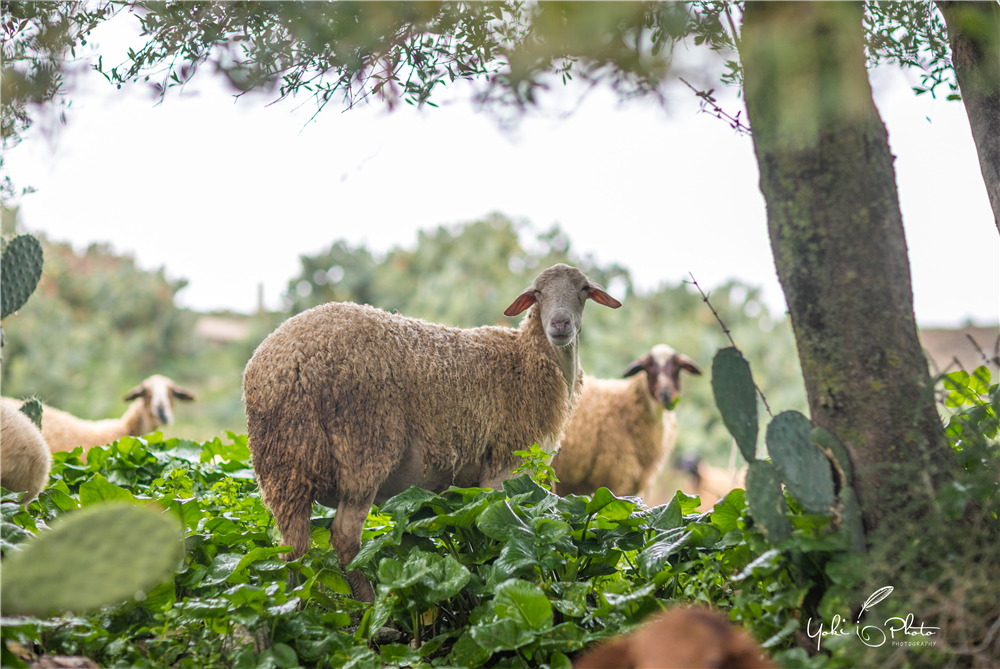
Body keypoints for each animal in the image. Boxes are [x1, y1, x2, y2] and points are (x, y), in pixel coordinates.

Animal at [244, 264, 616, 604]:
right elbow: (499, 534)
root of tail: (282, 363)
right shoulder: (505, 466)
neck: (528, 358)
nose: (559, 325)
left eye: (583, 289)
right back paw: (369, 604)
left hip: (285, 464)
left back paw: (292, 604)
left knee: (292, 547)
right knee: (345, 538)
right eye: (537, 293)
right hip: (362, 451)